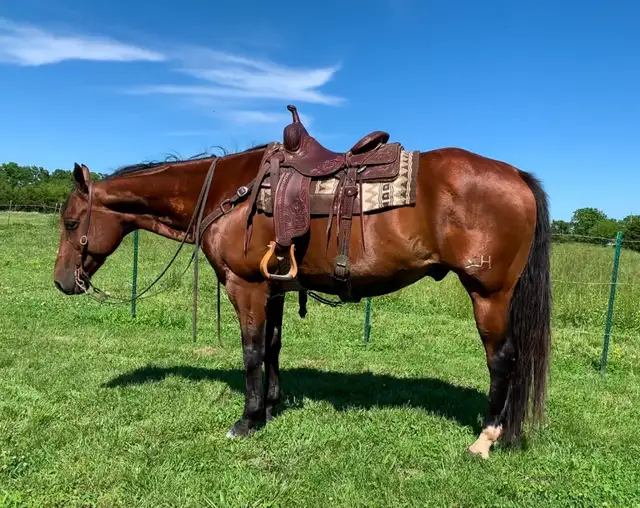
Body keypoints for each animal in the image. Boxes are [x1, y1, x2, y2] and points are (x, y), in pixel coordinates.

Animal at [53, 111, 551, 459]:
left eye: (72, 222)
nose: (61, 282)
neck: (231, 193)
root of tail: (515, 176)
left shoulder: (247, 287)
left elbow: (252, 351)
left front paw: (246, 420)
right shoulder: (273, 287)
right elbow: (273, 347)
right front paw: (271, 408)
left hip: (488, 294)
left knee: (502, 360)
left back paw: (486, 439)